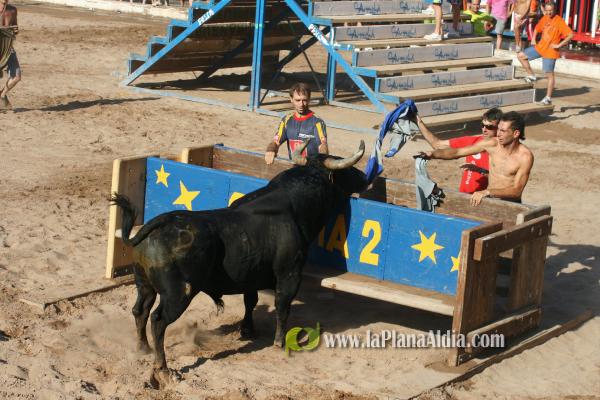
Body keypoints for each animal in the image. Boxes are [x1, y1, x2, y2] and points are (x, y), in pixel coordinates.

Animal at [111, 140, 367, 388]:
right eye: (347, 170)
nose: (365, 177)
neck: (294, 205)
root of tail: (159, 223)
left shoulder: (251, 273)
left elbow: (250, 301)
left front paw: (247, 329)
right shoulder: (290, 274)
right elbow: (282, 306)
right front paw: (280, 342)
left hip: (144, 284)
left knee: (140, 310)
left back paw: (143, 348)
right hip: (178, 294)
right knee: (158, 320)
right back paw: (163, 369)